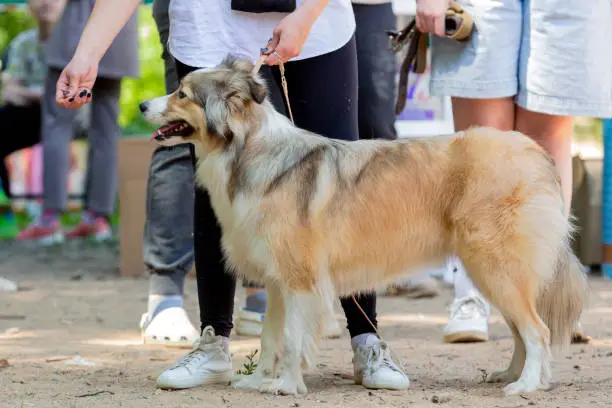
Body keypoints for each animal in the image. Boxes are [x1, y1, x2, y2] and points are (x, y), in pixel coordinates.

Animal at [139, 55, 588, 396]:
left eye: (182, 94)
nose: (142, 106)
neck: (248, 150)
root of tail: (535, 153)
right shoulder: (277, 281)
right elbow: (269, 337)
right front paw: (259, 382)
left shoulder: (300, 281)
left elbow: (292, 338)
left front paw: (285, 386)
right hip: (497, 273)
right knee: (522, 331)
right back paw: (511, 375)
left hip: (496, 267)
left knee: (537, 330)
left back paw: (525, 385)